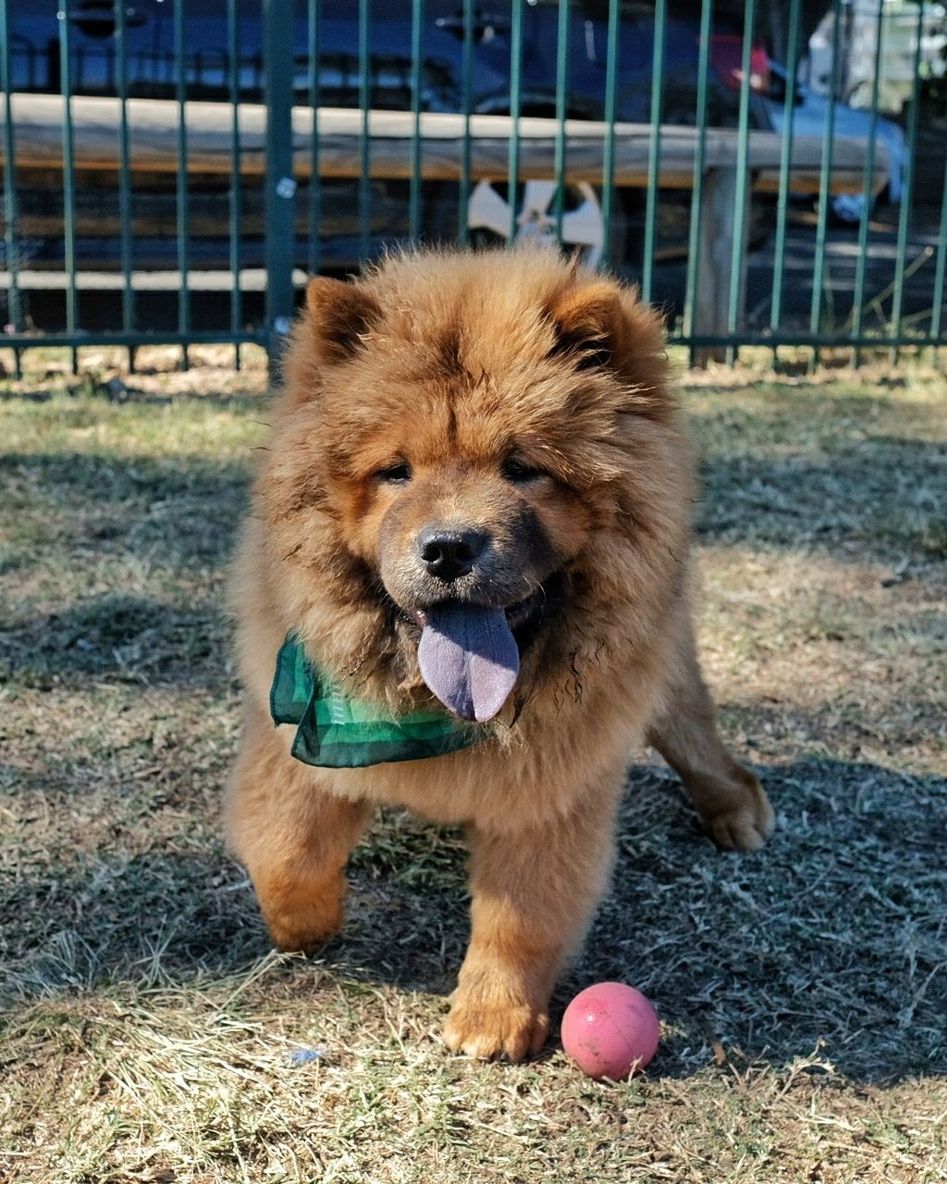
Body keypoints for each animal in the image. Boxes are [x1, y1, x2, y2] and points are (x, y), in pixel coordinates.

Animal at [226, 245, 771, 1060]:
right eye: (395, 472)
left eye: (522, 468)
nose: (450, 547)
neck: (442, 707)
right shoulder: (299, 731)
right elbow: (287, 852)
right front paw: (305, 931)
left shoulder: (549, 788)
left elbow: (521, 916)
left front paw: (492, 1019)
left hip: (666, 683)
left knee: (703, 747)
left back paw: (737, 814)